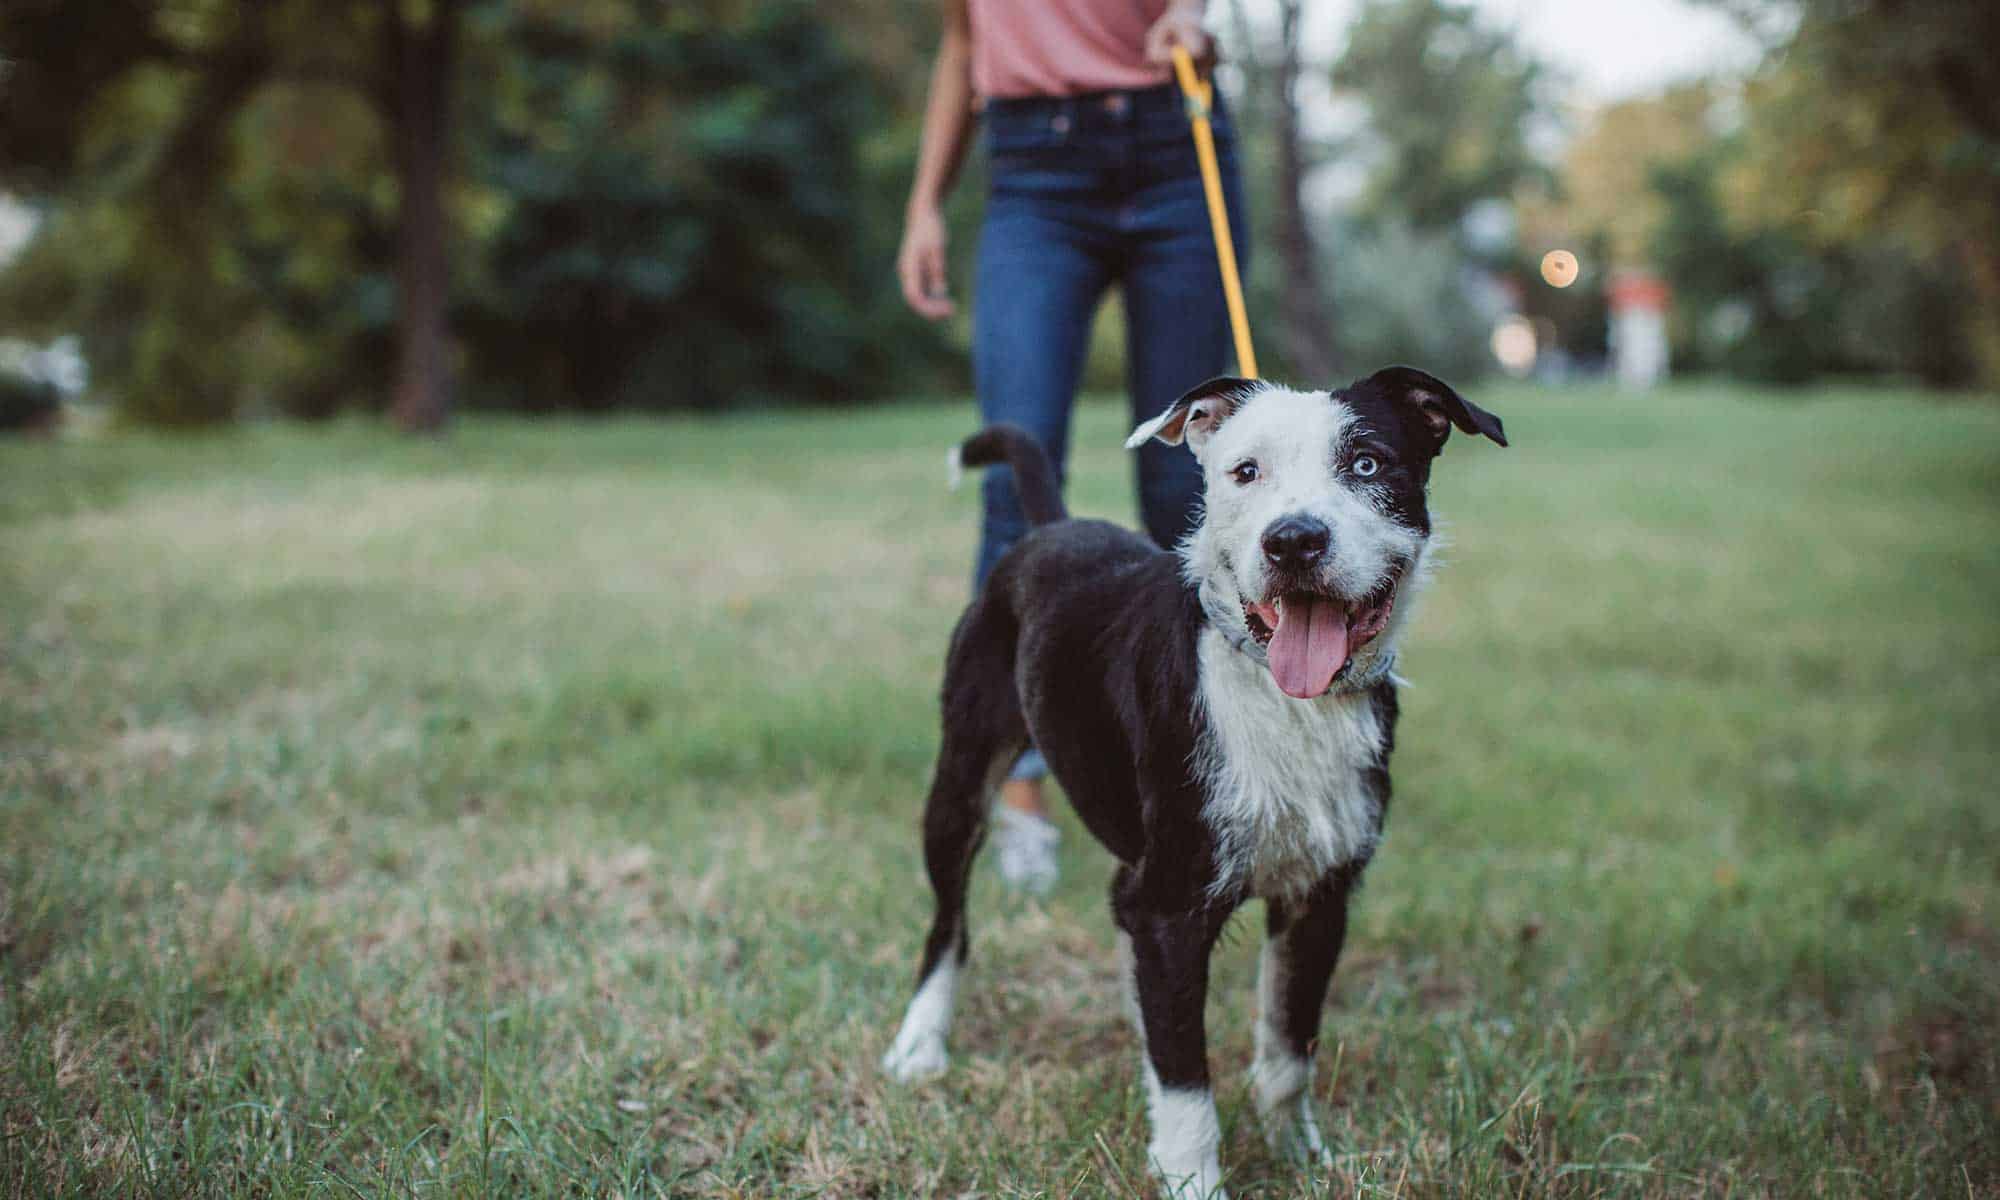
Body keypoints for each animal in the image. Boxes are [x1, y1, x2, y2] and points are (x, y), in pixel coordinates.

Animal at [884, 370, 1504, 1192]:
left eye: (1368, 463)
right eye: (1245, 472)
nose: (1293, 539)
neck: (1281, 697)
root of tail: (1051, 529)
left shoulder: (1319, 897)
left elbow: (1288, 1049)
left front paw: (1297, 1156)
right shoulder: (1171, 905)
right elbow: (1187, 1083)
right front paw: (1193, 1180)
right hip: (960, 781)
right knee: (948, 923)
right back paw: (920, 1044)